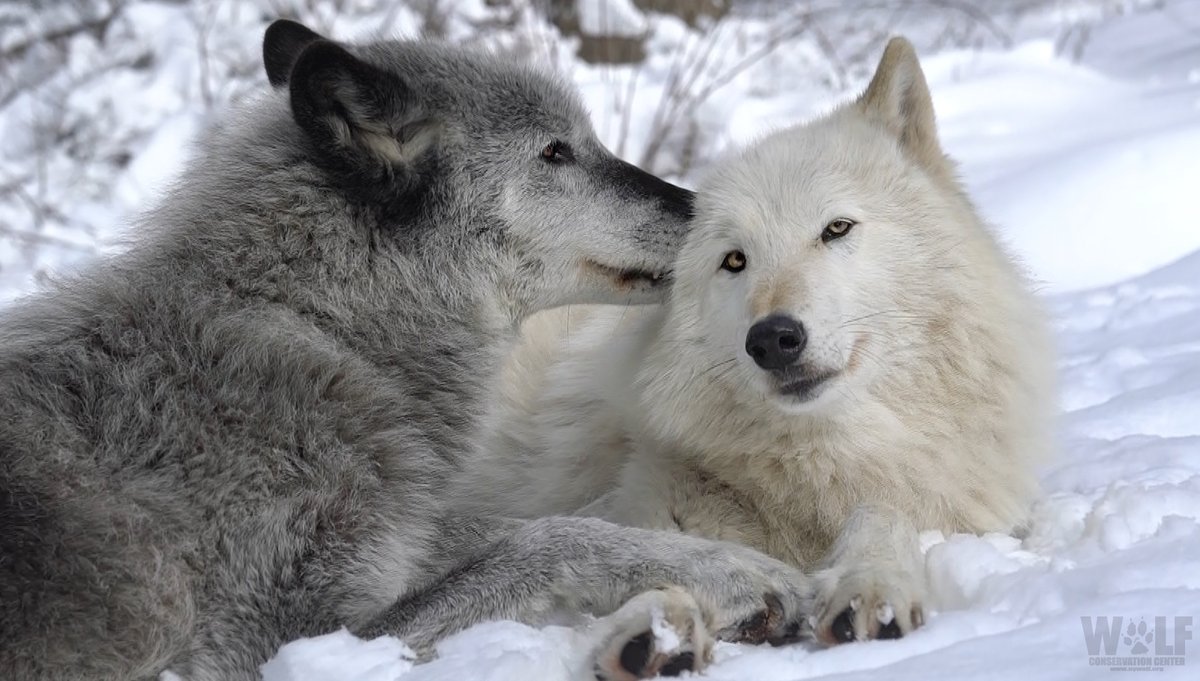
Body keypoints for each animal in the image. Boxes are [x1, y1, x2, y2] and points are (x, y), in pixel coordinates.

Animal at [0, 20, 815, 681]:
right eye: (557, 152)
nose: (709, 214)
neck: (325, 327)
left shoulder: (408, 530)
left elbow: (535, 527)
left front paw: (736, 571)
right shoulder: (290, 645)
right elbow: (549, 537)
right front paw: (736, 575)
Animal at [467, 37, 1056, 646]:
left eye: (836, 229)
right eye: (734, 260)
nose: (772, 339)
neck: (824, 462)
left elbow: (883, 514)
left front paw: (870, 585)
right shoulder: (638, 494)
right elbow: (657, 551)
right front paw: (657, 629)